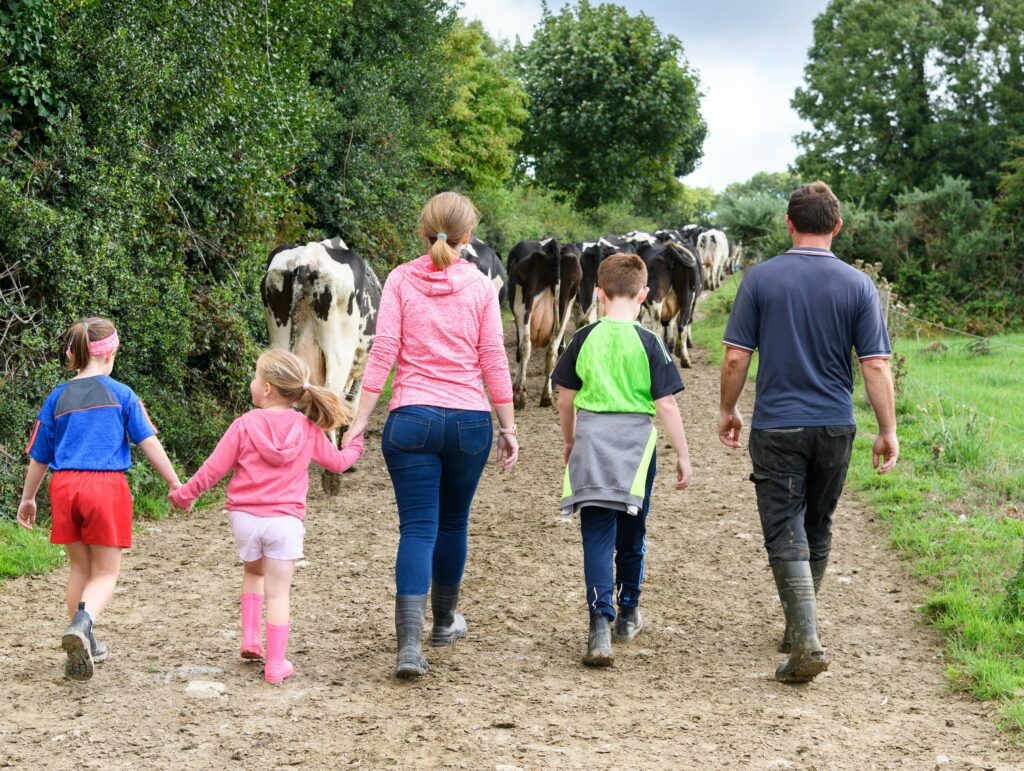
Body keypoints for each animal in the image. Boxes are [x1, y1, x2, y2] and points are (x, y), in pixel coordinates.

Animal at [505, 237, 581, 409]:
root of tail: (553, 244)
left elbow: (519, 352)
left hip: (523, 305)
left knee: (525, 345)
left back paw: (520, 396)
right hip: (565, 305)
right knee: (553, 350)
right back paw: (546, 396)